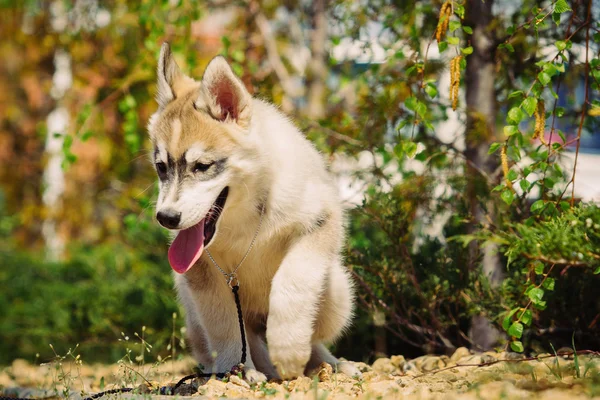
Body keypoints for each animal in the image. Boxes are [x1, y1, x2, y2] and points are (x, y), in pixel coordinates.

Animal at [149, 43, 356, 382]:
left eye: (202, 166)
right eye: (161, 167)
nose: (166, 218)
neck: (244, 219)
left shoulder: (321, 221)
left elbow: (292, 282)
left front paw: (287, 347)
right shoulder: (203, 275)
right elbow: (224, 326)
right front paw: (236, 369)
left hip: (338, 290)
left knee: (314, 337)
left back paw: (332, 363)